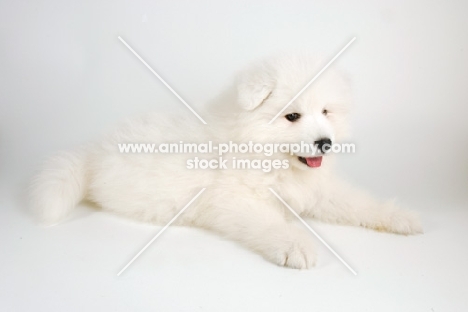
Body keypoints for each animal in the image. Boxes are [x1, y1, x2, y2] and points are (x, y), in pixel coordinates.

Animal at [30, 53, 424, 268]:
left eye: (327, 111)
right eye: (292, 117)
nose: (325, 143)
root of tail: (95, 149)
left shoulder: (318, 190)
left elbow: (358, 202)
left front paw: (399, 216)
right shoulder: (232, 200)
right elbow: (268, 222)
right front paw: (294, 245)